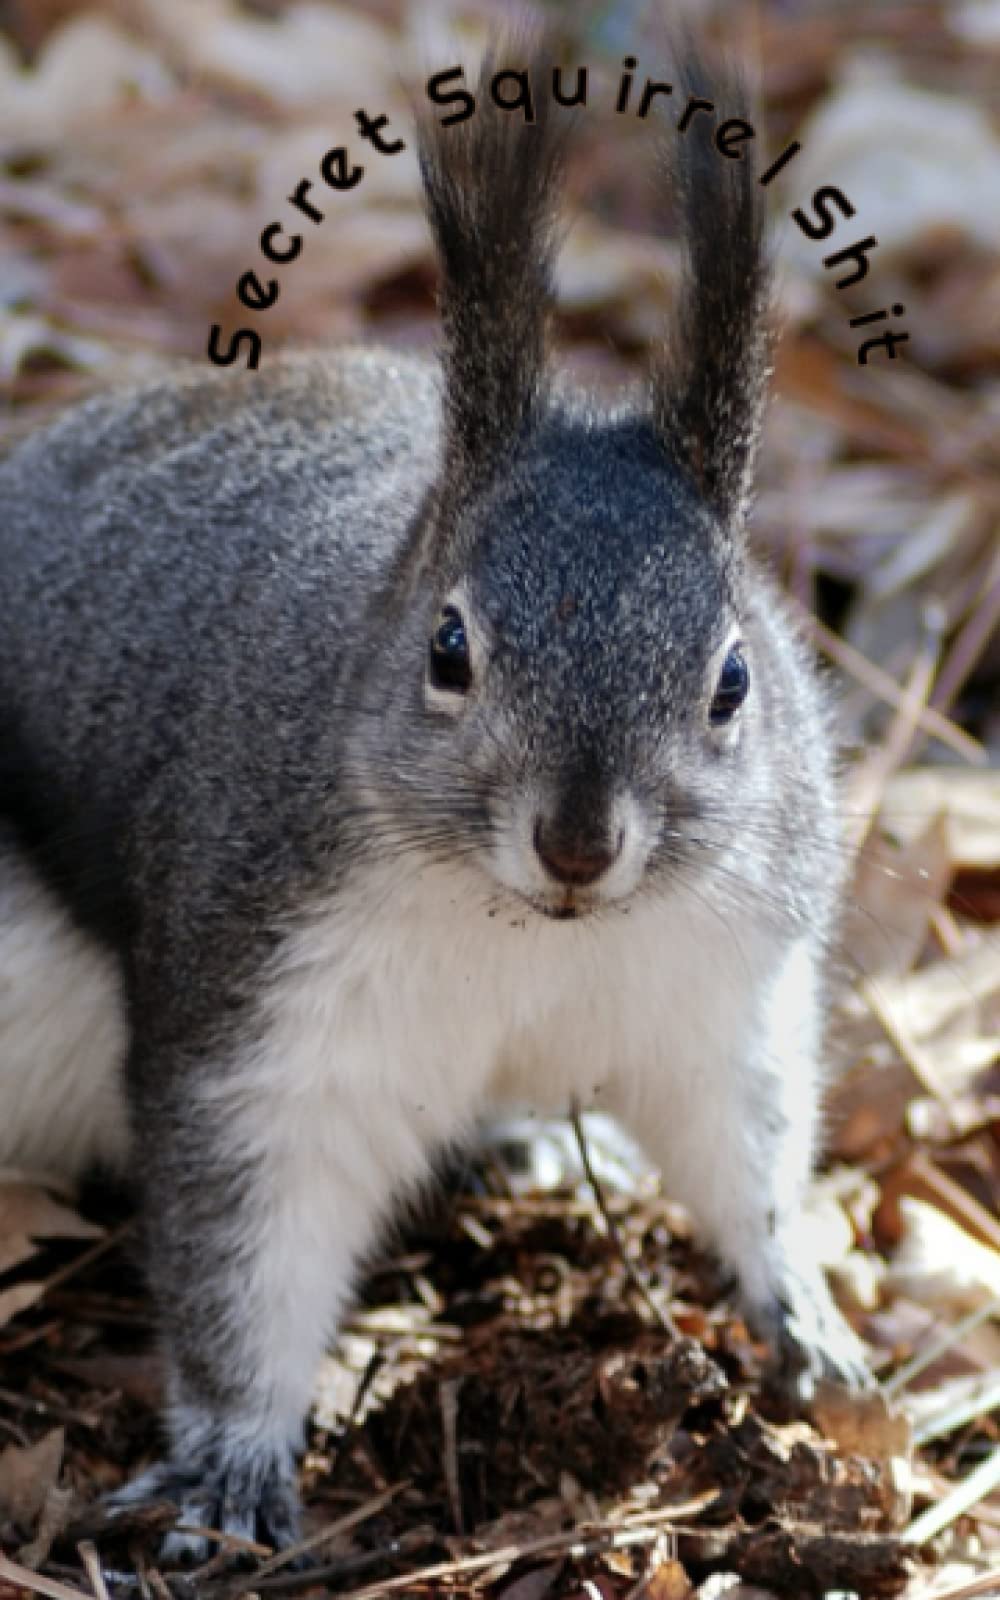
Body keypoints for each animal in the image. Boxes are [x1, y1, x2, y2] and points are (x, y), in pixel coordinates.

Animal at [0, 40, 871, 1558]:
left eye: (733, 678)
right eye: (447, 647)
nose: (578, 842)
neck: (534, 935)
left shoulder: (724, 989)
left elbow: (743, 1142)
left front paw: (801, 1309)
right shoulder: (268, 1012)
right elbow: (248, 1243)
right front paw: (233, 1464)